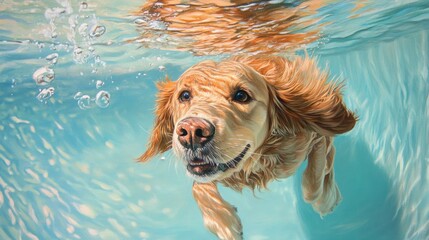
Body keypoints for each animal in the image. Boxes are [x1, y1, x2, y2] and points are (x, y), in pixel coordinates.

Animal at [139, 55, 356, 239]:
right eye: (184, 95)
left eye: (241, 96)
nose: (192, 131)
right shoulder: (206, 172)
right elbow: (198, 187)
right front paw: (224, 223)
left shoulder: (312, 137)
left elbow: (314, 179)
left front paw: (327, 199)